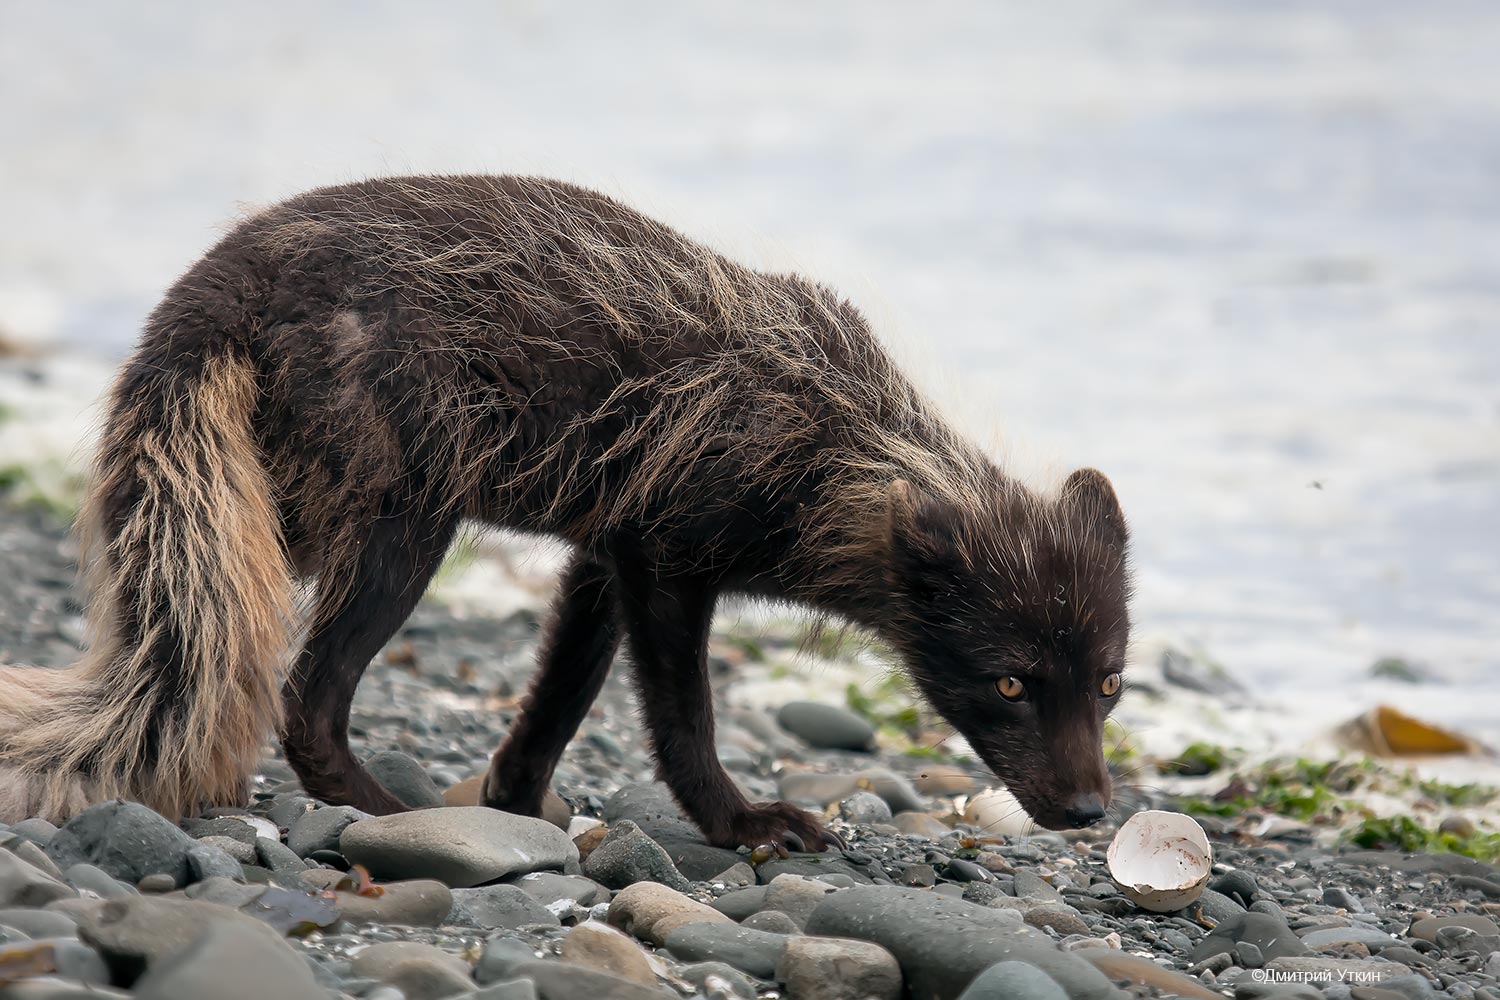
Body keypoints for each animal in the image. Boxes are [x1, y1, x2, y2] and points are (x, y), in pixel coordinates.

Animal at [0, 176, 1128, 851]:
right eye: (1011, 682)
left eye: (1110, 685)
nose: (1088, 813)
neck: (830, 438)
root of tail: (207, 294)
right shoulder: (668, 562)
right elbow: (681, 719)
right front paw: (740, 822)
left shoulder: (604, 553)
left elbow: (557, 700)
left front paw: (512, 805)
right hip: (397, 526)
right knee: (305, 702)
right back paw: (388, 817)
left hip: (284, 516)